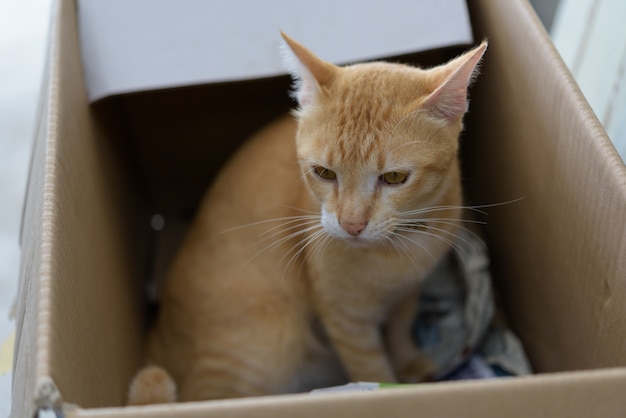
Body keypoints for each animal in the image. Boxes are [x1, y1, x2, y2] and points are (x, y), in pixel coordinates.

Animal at [127, 33, 486, 404]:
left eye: (395, 178)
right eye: (324, 173)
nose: (351, 224)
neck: (396, 251)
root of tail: (156, 337)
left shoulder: (408, 292)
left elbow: (400, 328)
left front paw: (409, 364)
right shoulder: (345, 320)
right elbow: (371, 370)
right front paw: (391, 389)